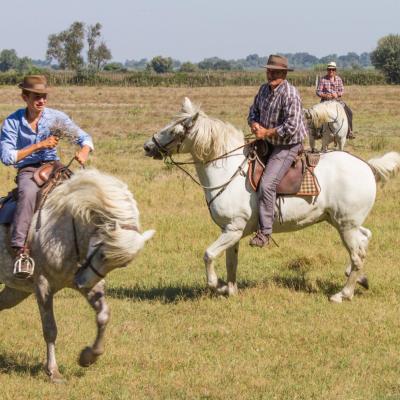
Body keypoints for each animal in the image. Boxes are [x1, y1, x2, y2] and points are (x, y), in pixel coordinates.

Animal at [0, 168, 154, 382]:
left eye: (122, 265)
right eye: (104, 254)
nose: (82, 283)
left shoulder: (91, 282)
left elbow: (103, 316)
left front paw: (88, 357)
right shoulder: (42, 286)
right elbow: (50, 329)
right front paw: (53, 372)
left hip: (16, 291)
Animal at [144, 97, 400, 304]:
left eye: (174, 131)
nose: (147, 146)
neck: (228, 169)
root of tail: (367, 166)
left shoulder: (232, 229)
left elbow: (208, 255)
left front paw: (217, 286)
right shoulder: (231, 232)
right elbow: (230, 262)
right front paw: (230, 290)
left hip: (346, 225)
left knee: (357, 255)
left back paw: (342, 294)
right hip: (341, 222)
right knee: (365, 239)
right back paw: (360, 280)